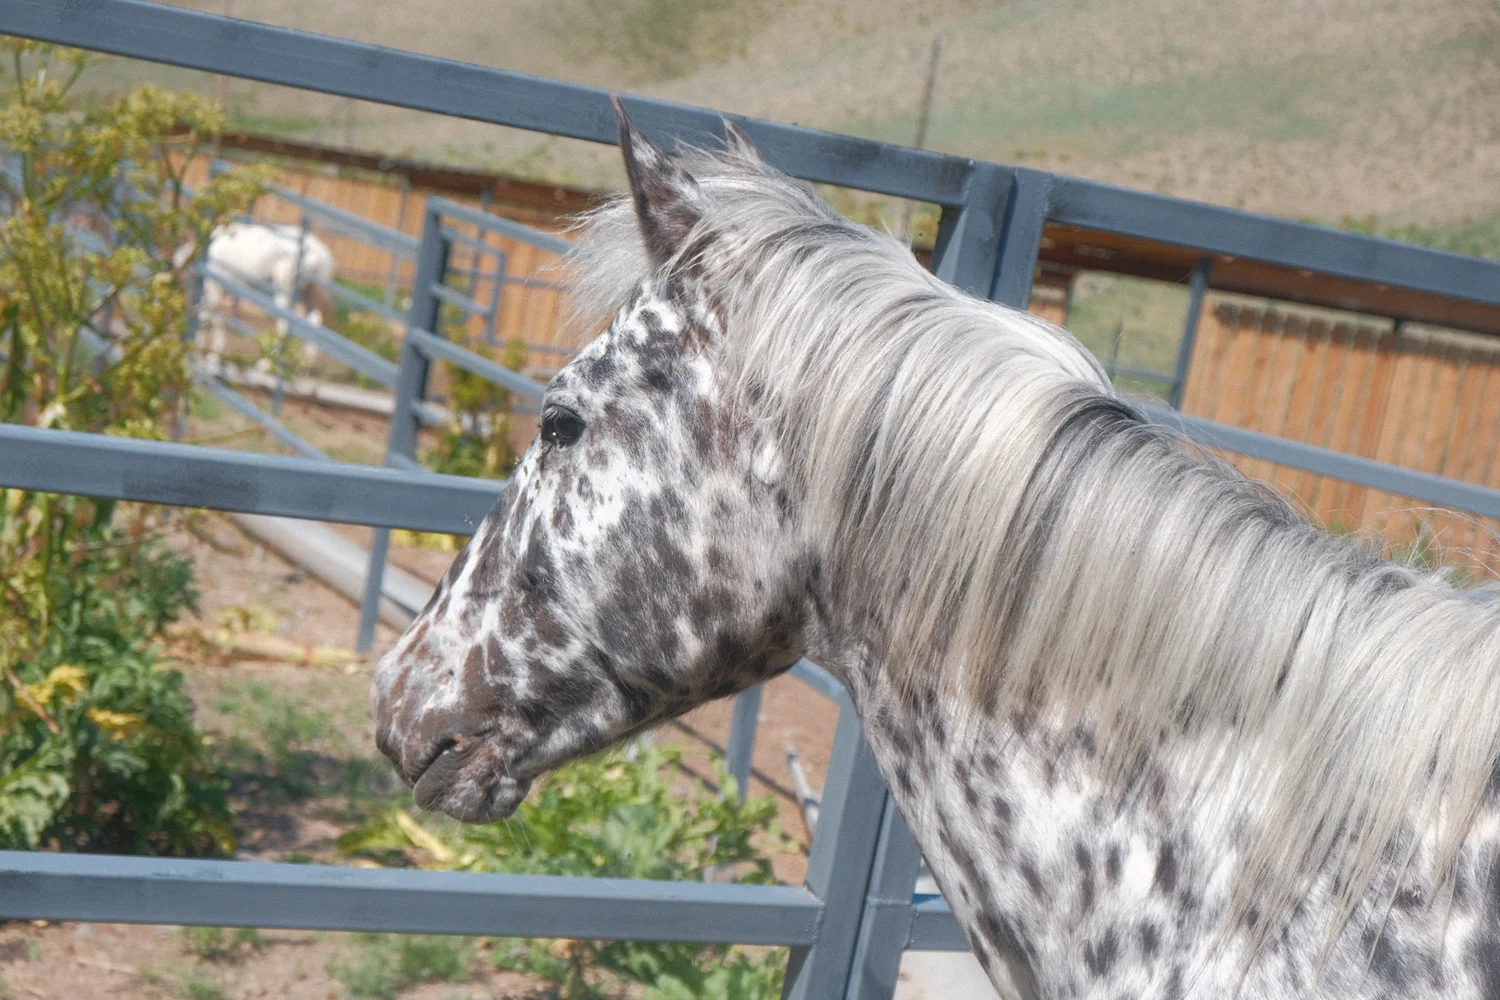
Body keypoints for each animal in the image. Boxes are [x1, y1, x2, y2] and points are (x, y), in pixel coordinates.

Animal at [174, 221, 335, 368]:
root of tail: (321, 257)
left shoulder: (214, 285)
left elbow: (210, 318)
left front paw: (204, 356)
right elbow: (212, 317)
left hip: (285, 286)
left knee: (286, 323)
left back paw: (265, 363)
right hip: (309, 291)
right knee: (314, 320)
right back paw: (305, 362)